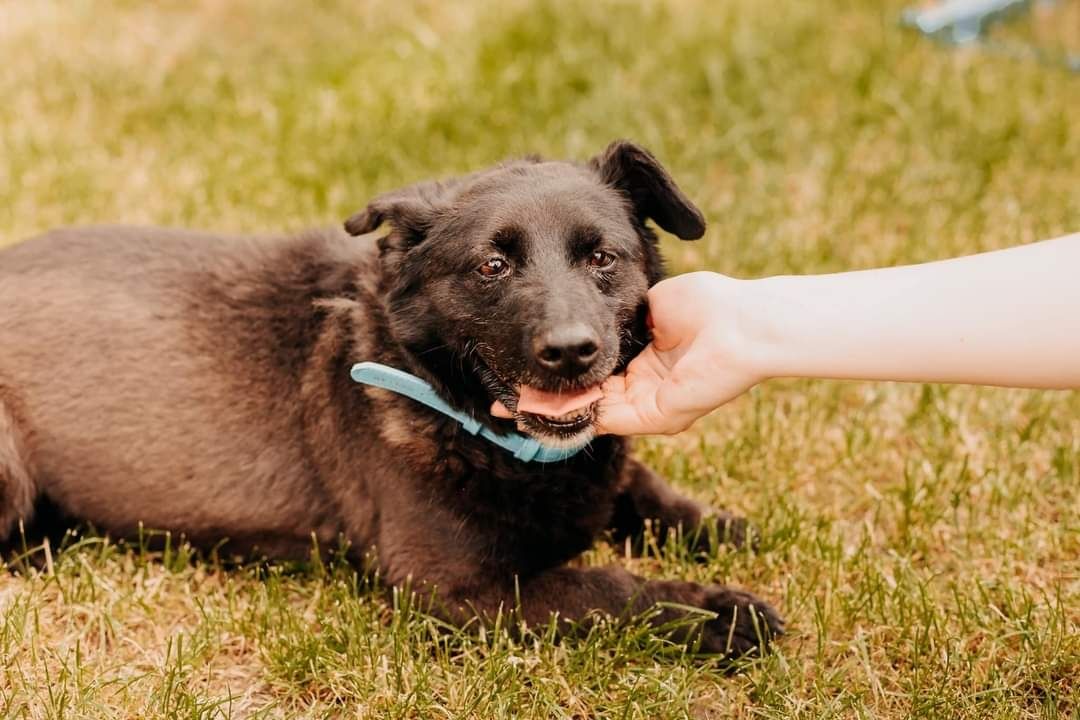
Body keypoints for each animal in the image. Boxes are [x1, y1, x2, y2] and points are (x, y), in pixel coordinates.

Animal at [0, 139, 781, 660]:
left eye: (602, 257)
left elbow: (644, 490)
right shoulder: (453, 589)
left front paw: (722, 529)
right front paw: (720, 613)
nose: (570, 351)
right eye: (492, 266)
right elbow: (609, 593)